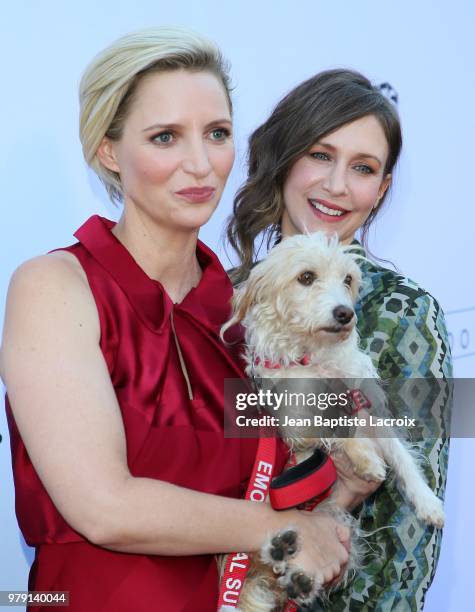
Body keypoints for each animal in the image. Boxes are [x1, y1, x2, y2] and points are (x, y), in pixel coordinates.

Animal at [223, 231, 446, 612]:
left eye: (348, 280)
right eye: (306, 277)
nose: (345, 313)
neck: (315, 357)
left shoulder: (368, 409)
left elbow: (402, 457)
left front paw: (427, 501)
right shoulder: (296, 422)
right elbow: (335, 427)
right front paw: (366, 460)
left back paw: (296, 578)